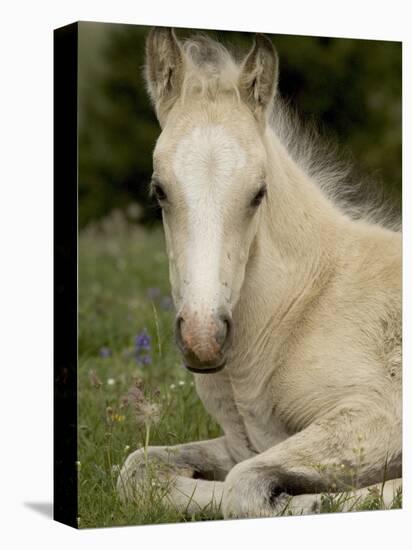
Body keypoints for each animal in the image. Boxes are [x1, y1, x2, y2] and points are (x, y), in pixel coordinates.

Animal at [117, 28, 400, 520]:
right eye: (159, 190)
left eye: (258, 193)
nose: (203, 339)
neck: (303, 309)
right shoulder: (244, 440)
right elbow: (139, 470)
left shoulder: (377, 413)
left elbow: (244, 487)